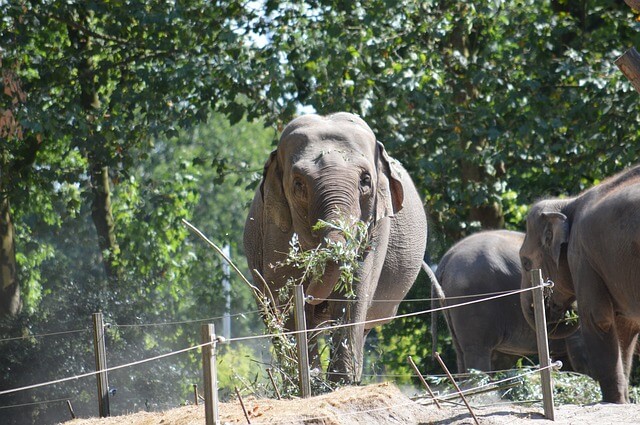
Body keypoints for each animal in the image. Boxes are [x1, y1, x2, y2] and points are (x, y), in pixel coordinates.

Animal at [242, 112, 428, 380]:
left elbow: (353, 294)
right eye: (298, 184)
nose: (314, 298)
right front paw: (310, 380)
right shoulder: (275, 228)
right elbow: (286, 299)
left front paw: (339, 383)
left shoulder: (376, 229)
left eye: (365, 180)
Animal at [516, 164, 640, 402]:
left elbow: (598, 318)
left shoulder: (581, 255)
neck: (568, 203)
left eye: (526, 263)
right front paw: (624, 401)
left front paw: (613, 401)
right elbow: (626, 329)